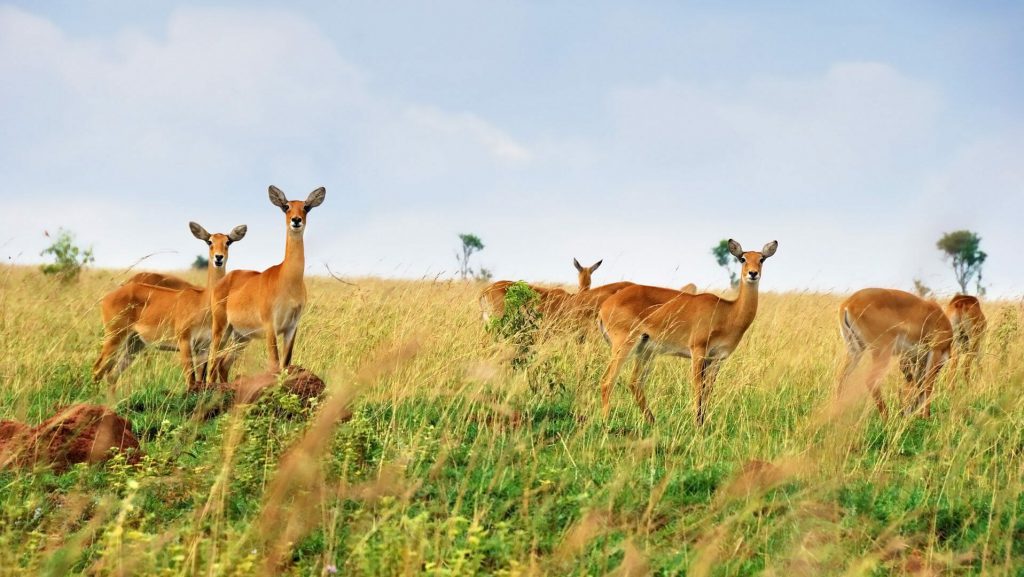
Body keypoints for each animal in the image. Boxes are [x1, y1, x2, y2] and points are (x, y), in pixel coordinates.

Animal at [94, 223, 249, 385]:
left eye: (228, 242)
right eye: (209, 241)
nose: (219, 258)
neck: (203, 301)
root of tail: (108, 296)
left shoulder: (204, 348)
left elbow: (200, 380)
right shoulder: (185, 342)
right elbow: (190, 380)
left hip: (134, 344)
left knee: (111, 375)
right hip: (114, 337)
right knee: (98, 369)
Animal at [211, 186, 327, 383]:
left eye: (306, 207)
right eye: (286, 206)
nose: (296, 220)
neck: (287, 280)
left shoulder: (291, 327)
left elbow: (285, 364)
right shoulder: (270, 326)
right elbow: (274, 364)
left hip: (241, 336)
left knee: (222, 364)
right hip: (221, 328)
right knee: (212, 360)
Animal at [593, 239, 774, 424]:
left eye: (761, 259)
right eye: (743, 259)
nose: (753, 273)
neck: (728, 312)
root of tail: (605, 306)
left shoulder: (717, 358)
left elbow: (708, 389)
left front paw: (703, 422)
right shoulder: (698, 351)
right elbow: (698, 386)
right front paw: (697, 423)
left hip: (645, 351)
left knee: (634, 383)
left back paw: (652, 421)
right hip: (624, 345)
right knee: (607, 381)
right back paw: (606, 422)